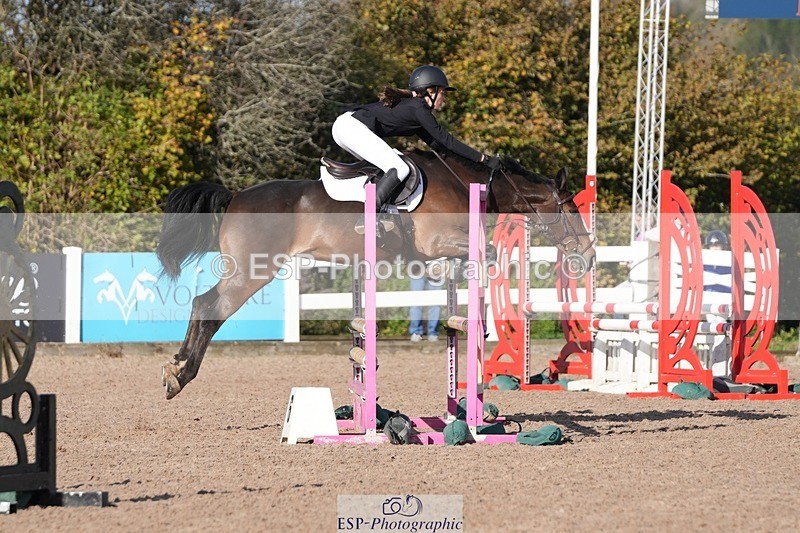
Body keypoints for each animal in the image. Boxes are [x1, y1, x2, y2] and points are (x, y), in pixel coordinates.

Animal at [156, 149, 596, 399]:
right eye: (571, 208)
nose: (588, 255)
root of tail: (235, 196)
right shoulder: (439, 240)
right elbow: (482, 253)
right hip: (253, 270)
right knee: (209, 307)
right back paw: (181, 374)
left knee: (203, 305)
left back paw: (176, 365)